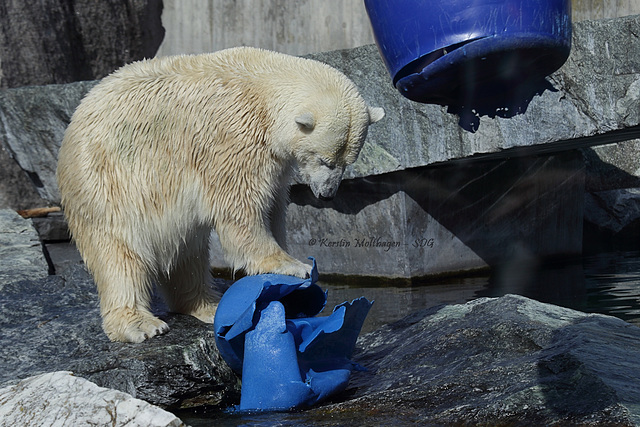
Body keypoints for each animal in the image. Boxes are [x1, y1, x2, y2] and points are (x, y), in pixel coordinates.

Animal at [56, 46, 380, 342]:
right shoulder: (233, 136)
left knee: (186, 250)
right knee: (119, 254)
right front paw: (290, 266)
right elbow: (241, 206)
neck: (263, 88)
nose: (327, 194)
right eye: (325, 160)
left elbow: (273, 204)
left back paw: (207, 305)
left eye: (348, 162)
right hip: (106, 185)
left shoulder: (274, 158)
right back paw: (141, 324)